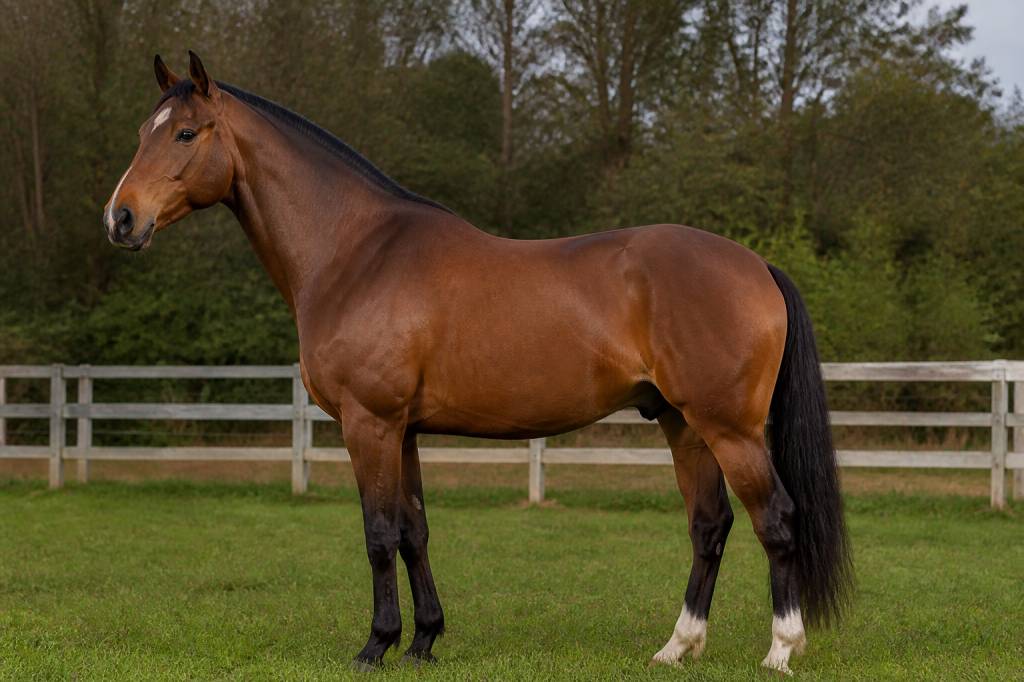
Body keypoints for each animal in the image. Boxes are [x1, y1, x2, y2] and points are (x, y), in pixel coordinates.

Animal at [104, 52, 851, 674]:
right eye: (143, 129)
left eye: (186, 134)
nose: (121, 219)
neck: (354, 252)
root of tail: (756, 265)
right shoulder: (403, 430)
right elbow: (414, 532)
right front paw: (424, 641)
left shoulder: (368, 423)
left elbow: (378, 534)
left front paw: (375, 645)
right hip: (683, 425)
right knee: (710, 526)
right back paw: (677, 647)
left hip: (729, 429)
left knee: (776, 520)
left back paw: (780, 650)